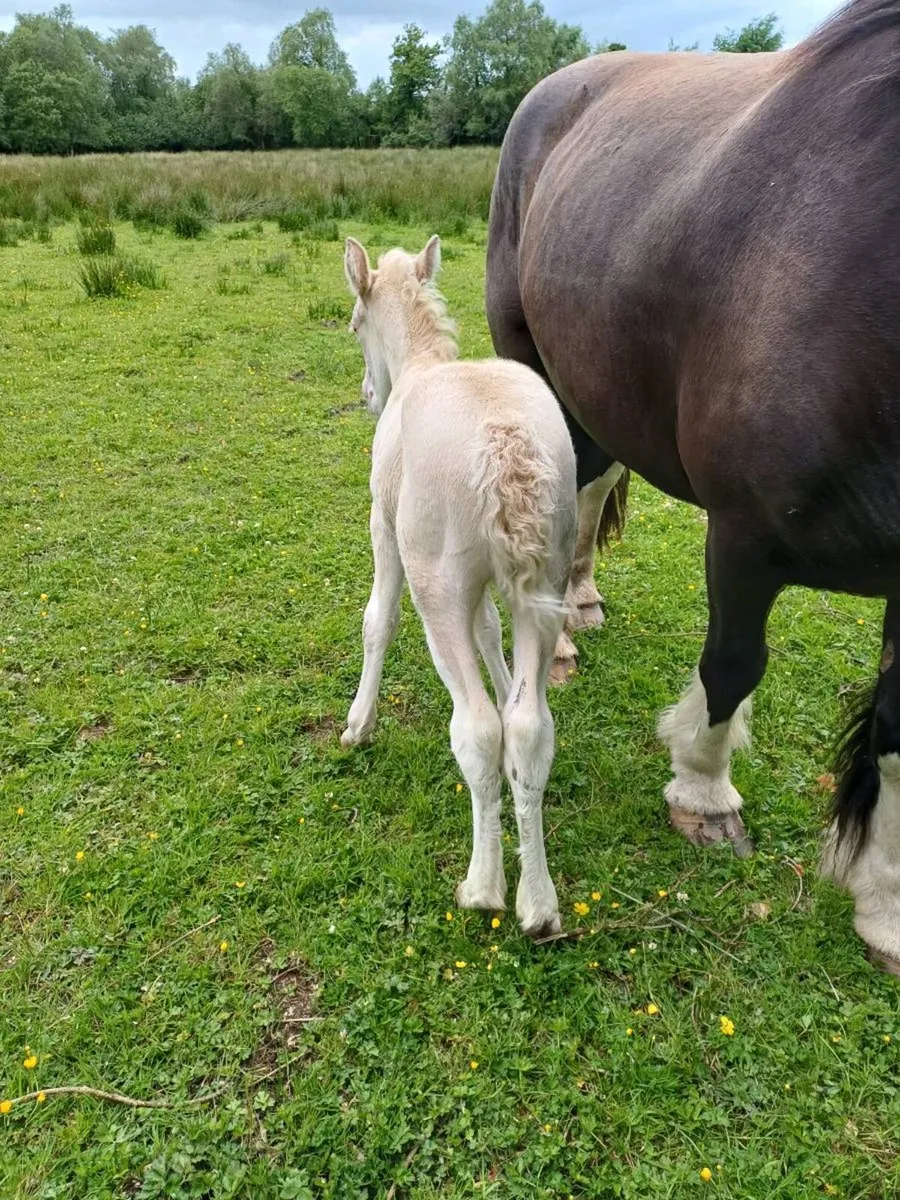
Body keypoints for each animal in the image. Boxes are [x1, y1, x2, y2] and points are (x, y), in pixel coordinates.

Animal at [341, 236, 578, 936]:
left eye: (355, 324)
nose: (368, 393)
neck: (420, 363)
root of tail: (505, 446)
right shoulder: (494, 580)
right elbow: (492, 631)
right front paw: (503, 679)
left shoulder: (384, 526)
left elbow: (377, 621)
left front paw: (357, 723)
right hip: (548, 575)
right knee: (527, 727)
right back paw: (539, 904)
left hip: (436, 578)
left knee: (477, 728)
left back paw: (483, 887)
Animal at [485, 0, 900, 974]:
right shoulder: (745, 535)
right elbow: (732, 664)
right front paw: (704, 795)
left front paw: (887, 907)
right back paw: (561, 635)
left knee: (592, 483)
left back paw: (581, 602)